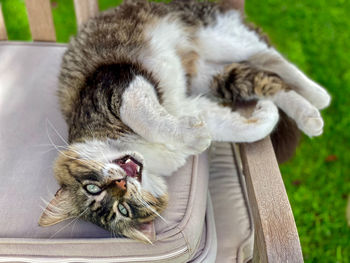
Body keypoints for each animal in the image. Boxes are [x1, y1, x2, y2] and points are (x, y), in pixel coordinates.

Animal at [39, 0, 330, 243]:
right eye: (121, 209)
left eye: (91, 187)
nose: (121, 183)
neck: (146, 152)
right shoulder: (195, 106)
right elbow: (241, 127)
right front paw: (262, 114)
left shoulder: (117, 84)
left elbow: (148, 119)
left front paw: (196, 137)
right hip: (216, 78)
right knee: (266, 75)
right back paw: (307, 114)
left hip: (215, 36)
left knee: (270, 55)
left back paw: (319, 94)